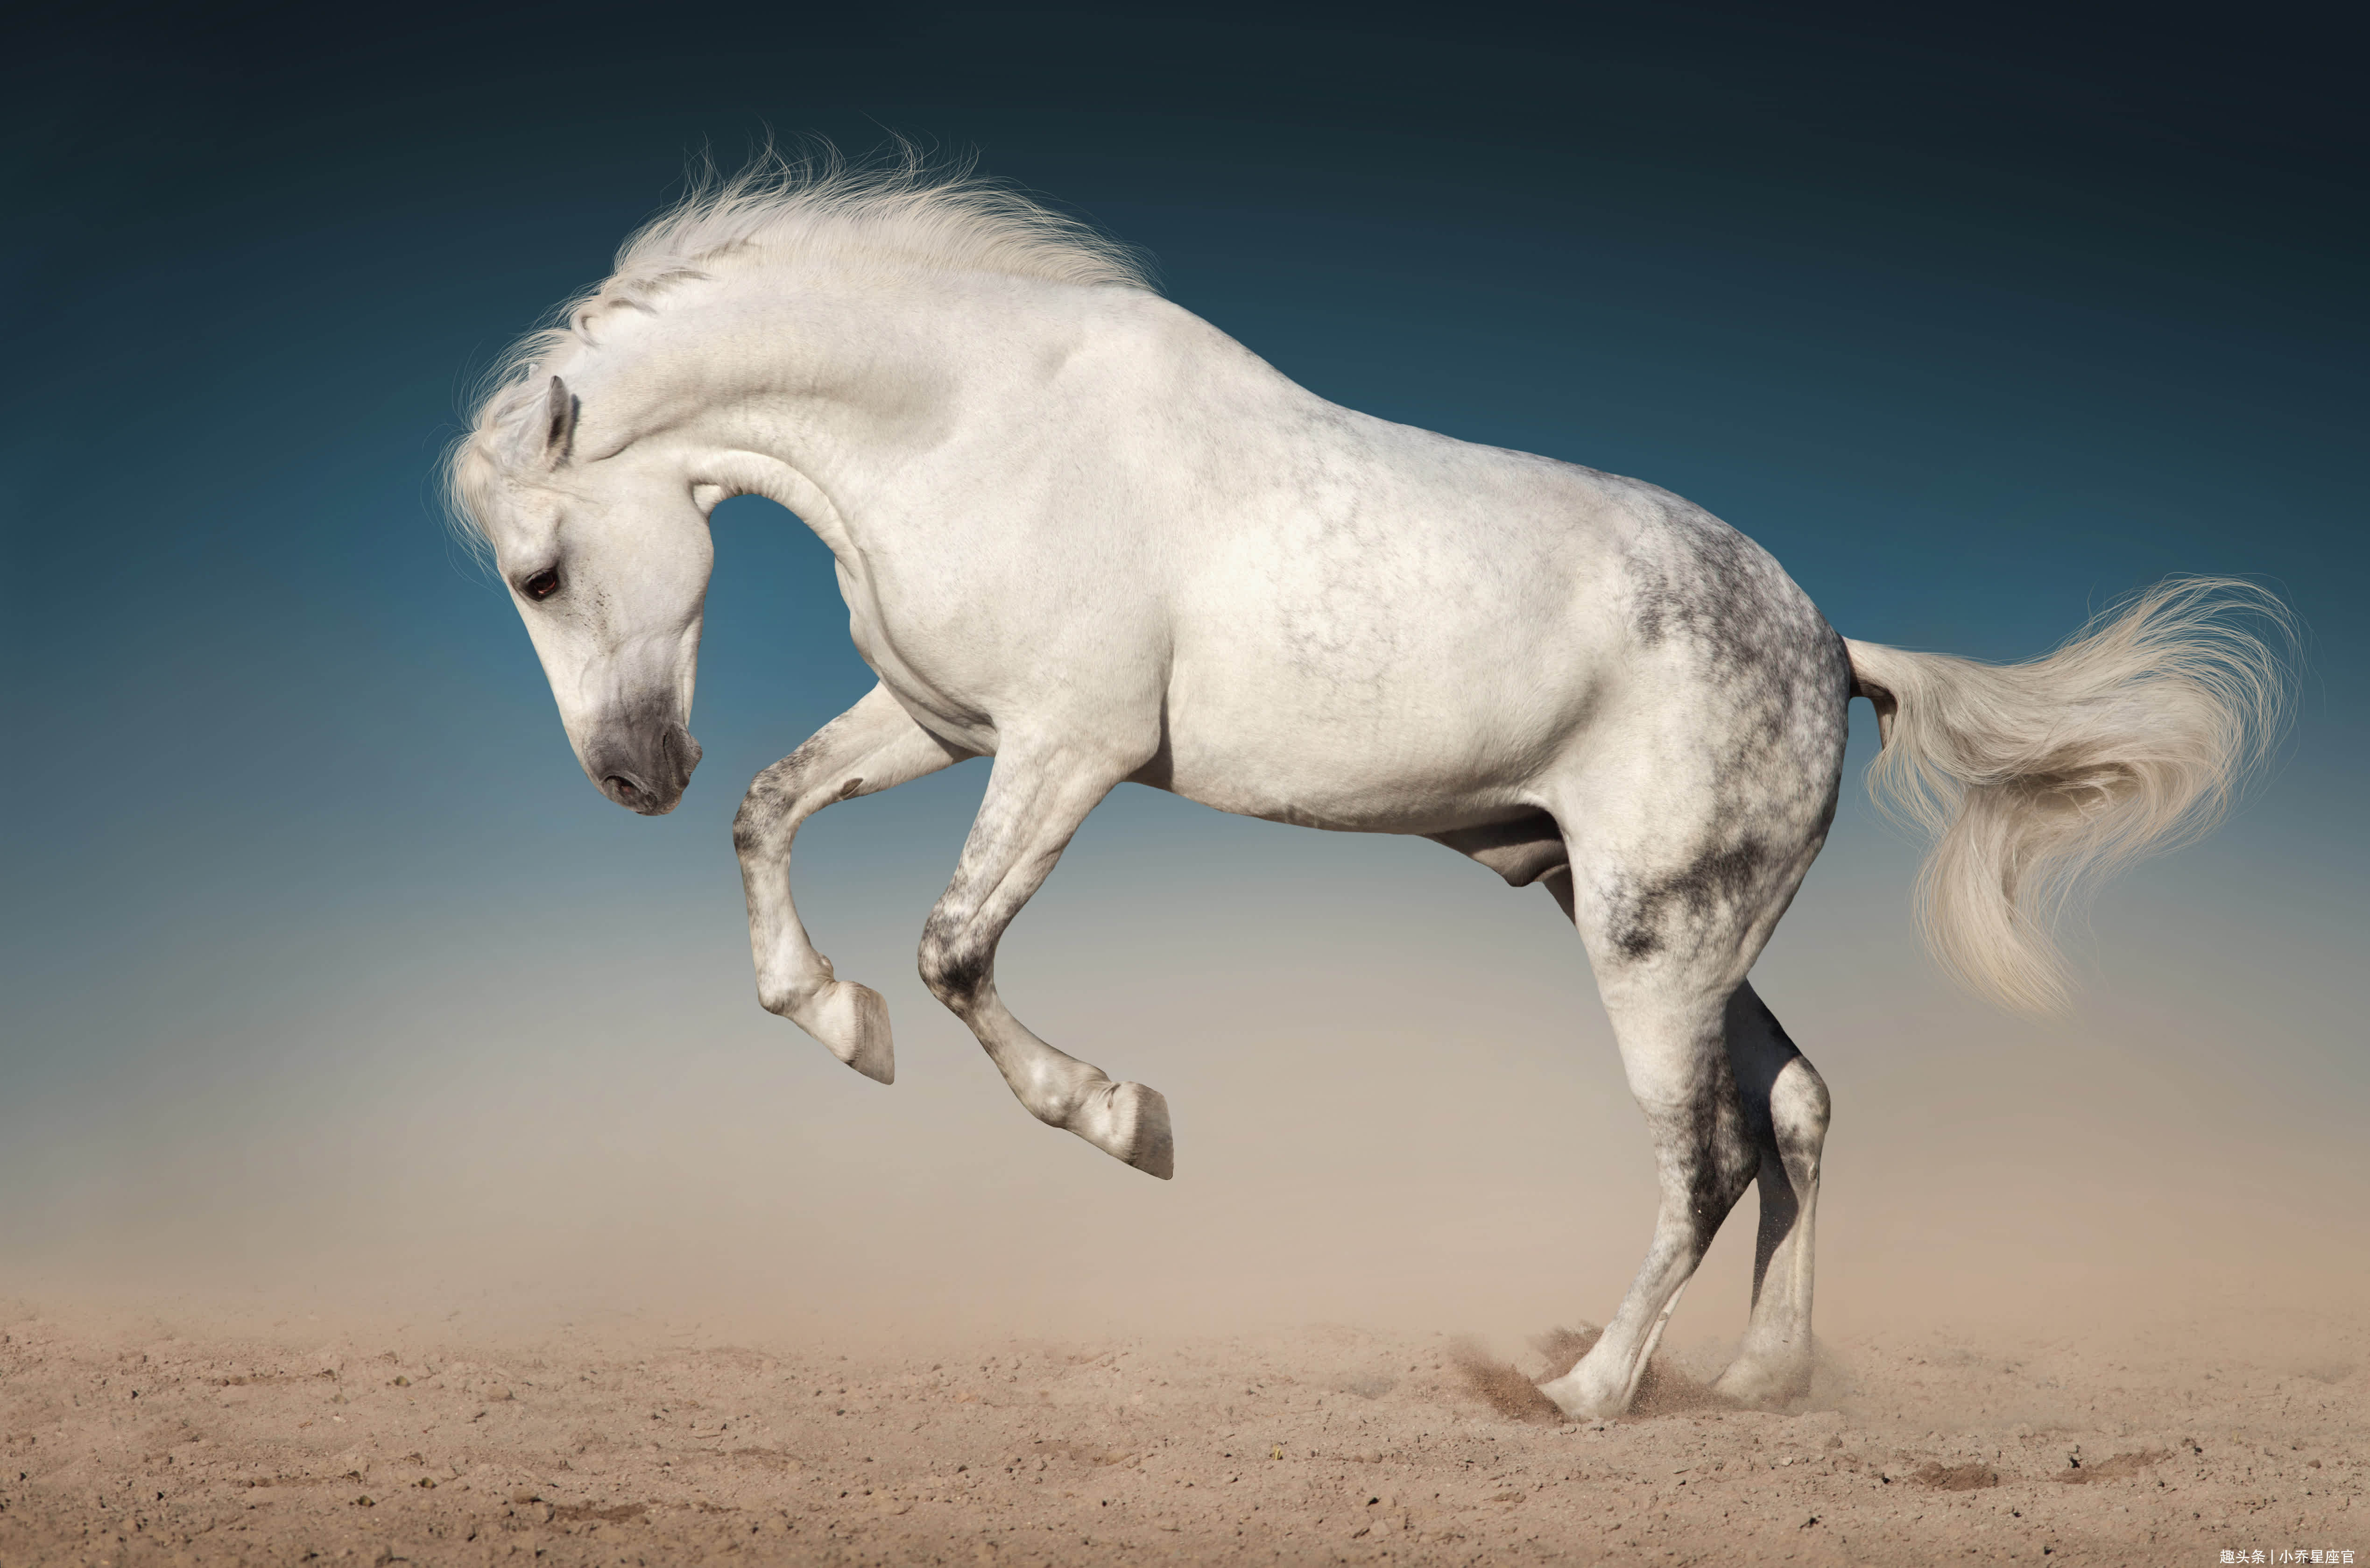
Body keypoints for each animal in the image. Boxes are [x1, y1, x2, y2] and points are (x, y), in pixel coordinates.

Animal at [445, 160, 2275, 1421]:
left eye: (539, 570)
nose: (631, 774)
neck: (972, 421)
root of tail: (1832, 646)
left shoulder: (1065, 749)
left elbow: (955, 950)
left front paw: (1127, 1121)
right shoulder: (944, 720)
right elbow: (774, 813)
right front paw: (836, 1023)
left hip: (1648, 941)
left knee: (1701, 1155)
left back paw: (1588, 1391)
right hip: (1664, 924)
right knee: (1798, 1106)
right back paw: (1762, 1376)